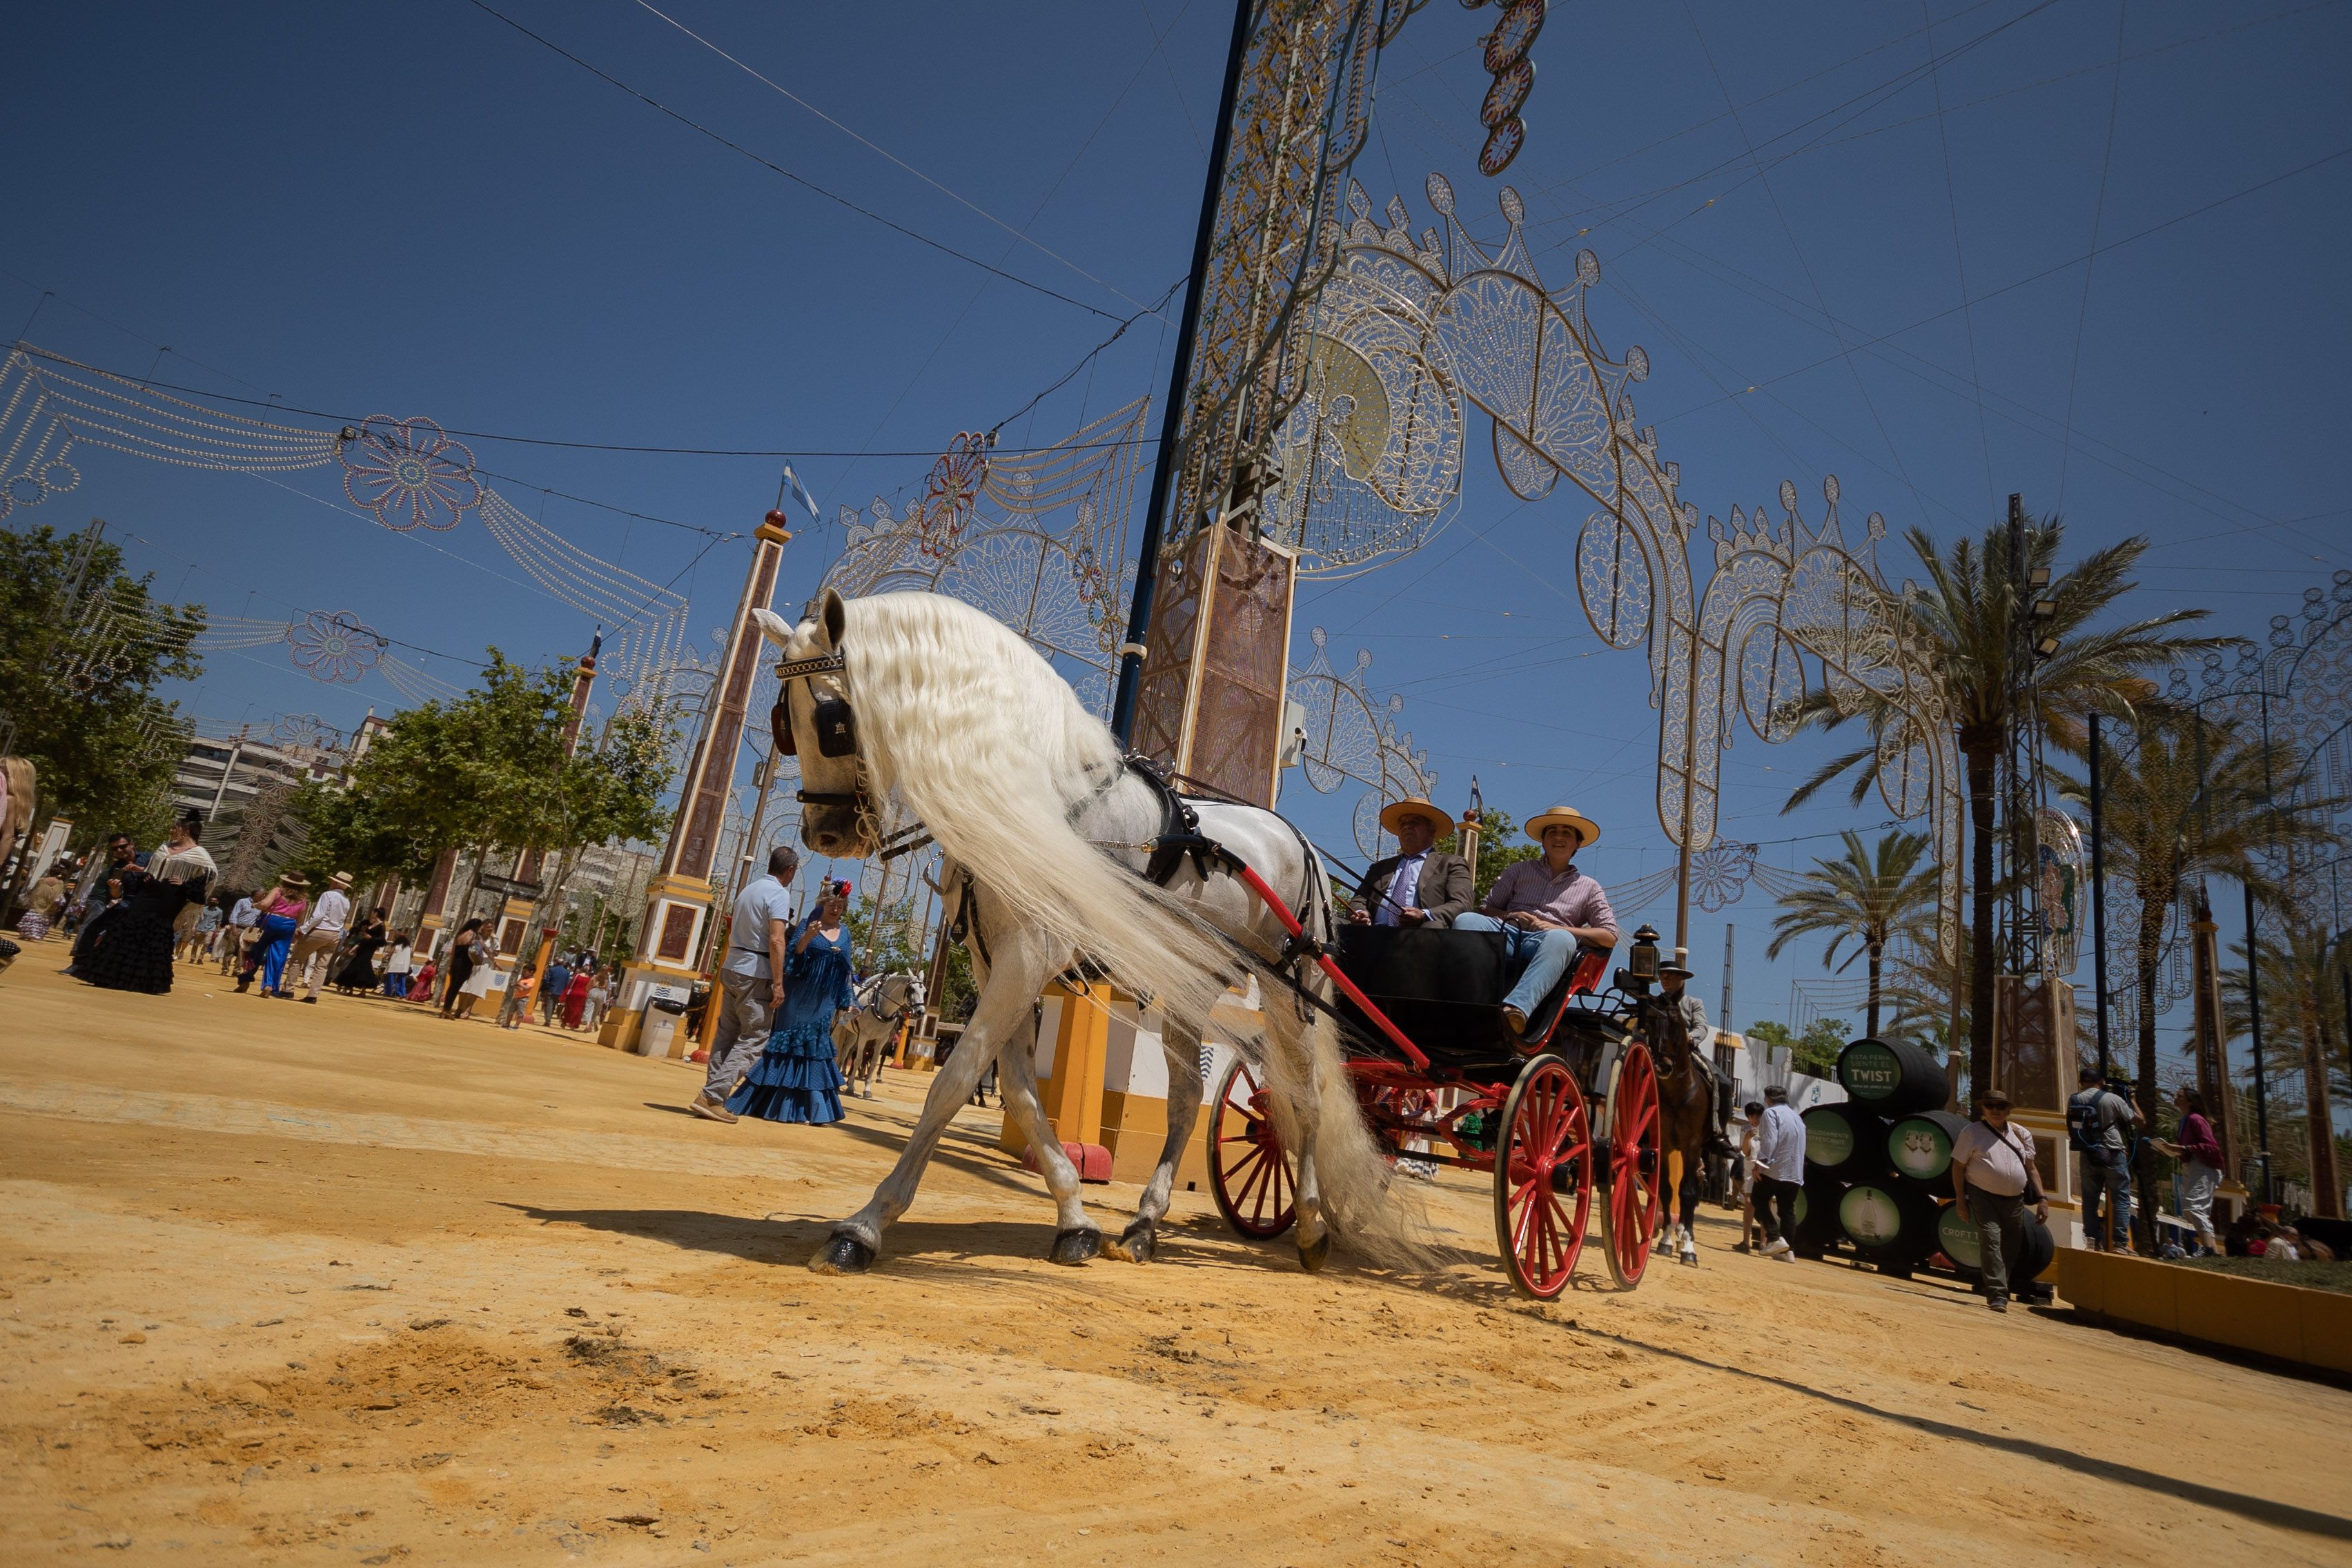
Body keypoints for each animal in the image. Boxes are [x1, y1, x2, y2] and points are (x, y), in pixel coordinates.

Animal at [833, 971, 923, 1099]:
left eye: (925, 991)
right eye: (912, 989)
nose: (921, 1011)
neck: (880, 1007)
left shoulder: (883, 1039)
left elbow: (874, 1062)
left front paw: (866, 1090)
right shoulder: (864, 1037)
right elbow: (858, 1060)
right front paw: (850, 1088)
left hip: (852, 1034)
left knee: (844, 1054)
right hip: (838, 1027)